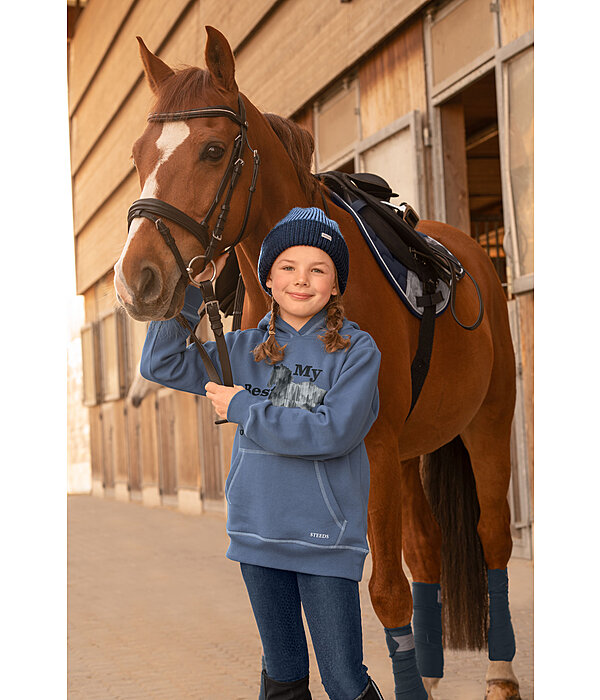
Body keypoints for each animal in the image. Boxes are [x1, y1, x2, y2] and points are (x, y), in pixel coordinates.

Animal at [115, 27, 516, 700]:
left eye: (214, 150)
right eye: (139, 156)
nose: (136, 279)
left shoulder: (373, 448)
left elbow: (385, 592)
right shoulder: (377, 449)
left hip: (488, 423)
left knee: (493, 539)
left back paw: (502, 675)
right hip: (408, 452)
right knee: (428, 549)